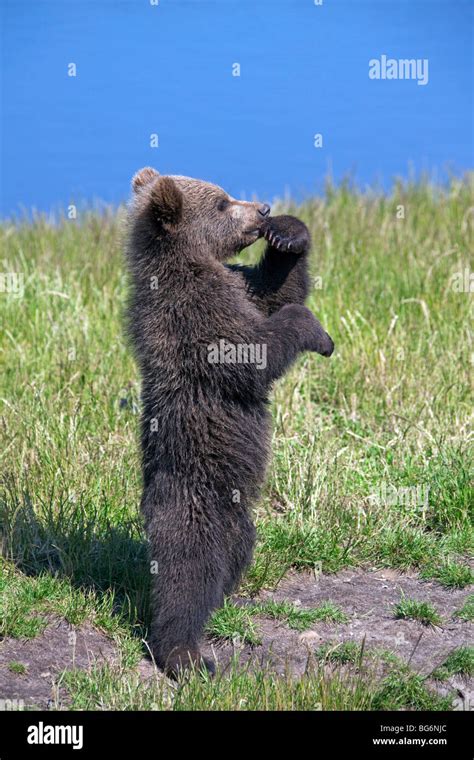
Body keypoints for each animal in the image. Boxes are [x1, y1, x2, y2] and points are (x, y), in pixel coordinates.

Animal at [125, 168, 334, 676]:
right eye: (221, 203)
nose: (261, 208)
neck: (193, 263)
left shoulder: (238, 288)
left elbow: (273, 292)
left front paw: (288, 236)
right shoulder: (197, 314)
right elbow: (254, 354)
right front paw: (317, 332)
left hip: (236, 517)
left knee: (235, 552)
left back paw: (224, 602)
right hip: (191, 505)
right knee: (187, 576)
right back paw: (183, 654)